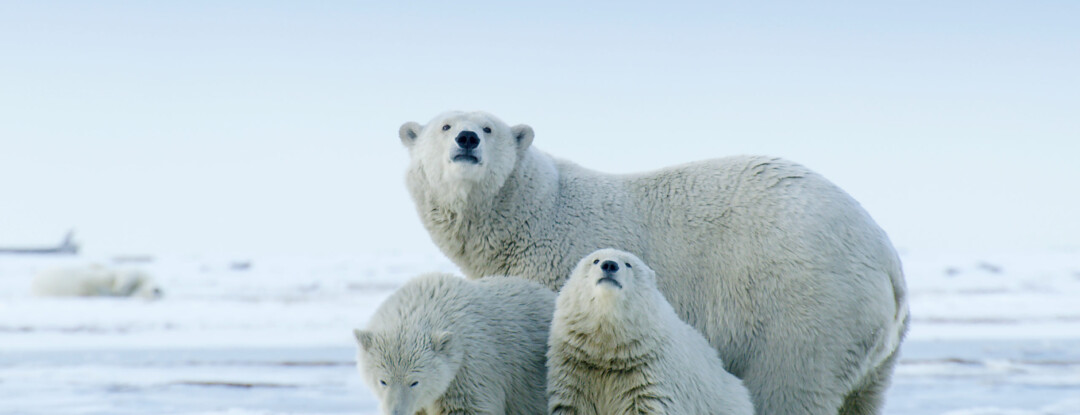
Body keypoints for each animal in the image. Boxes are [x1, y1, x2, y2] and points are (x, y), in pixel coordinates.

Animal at [401, 111, 907, 415]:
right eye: (444, 126)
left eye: (488, 128)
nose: (467, 138)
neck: (532, 210)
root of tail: (886, 256)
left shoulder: (555, 275)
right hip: (873, 347)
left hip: (806, 308)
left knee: (786, 386)